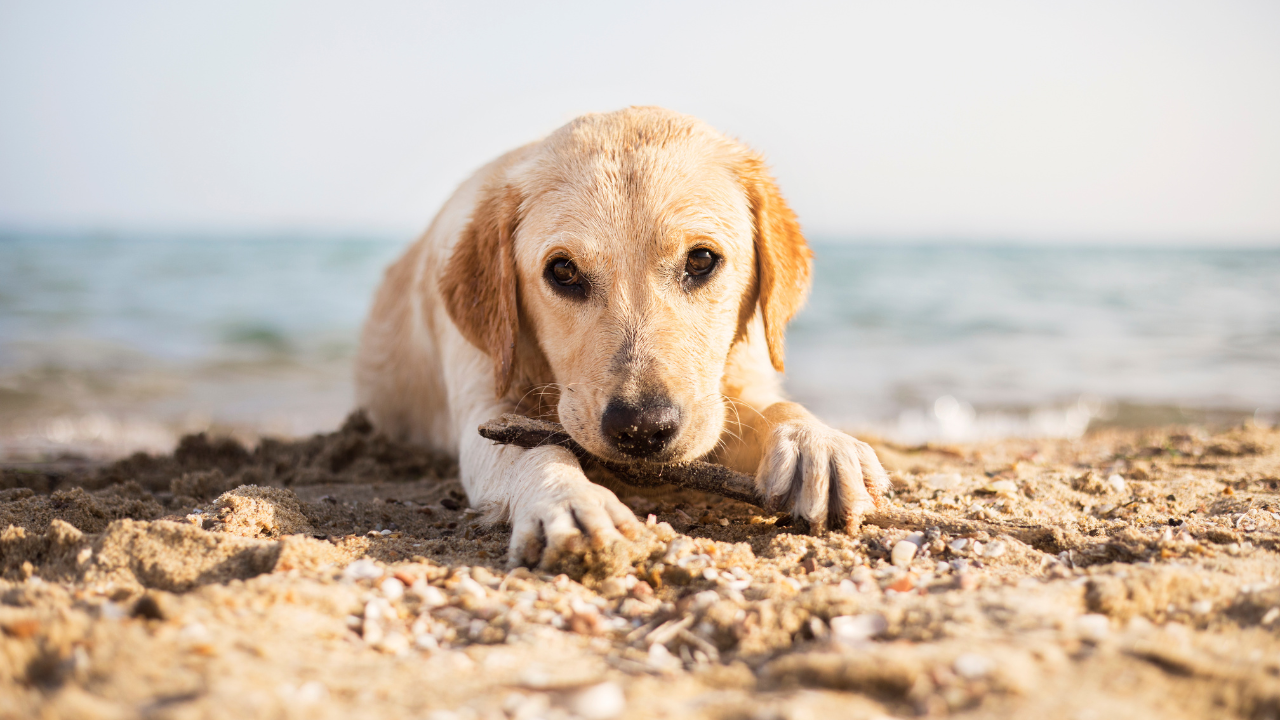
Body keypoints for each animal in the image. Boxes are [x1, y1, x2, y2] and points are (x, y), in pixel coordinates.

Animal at [355, 107, 885, 566]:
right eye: (563, 271)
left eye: (701, 259)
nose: (642, 428)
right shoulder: (483, 409)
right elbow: (535, 451)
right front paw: (568, 499)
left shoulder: (737, 383)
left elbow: (775, 407)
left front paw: (816, 443)